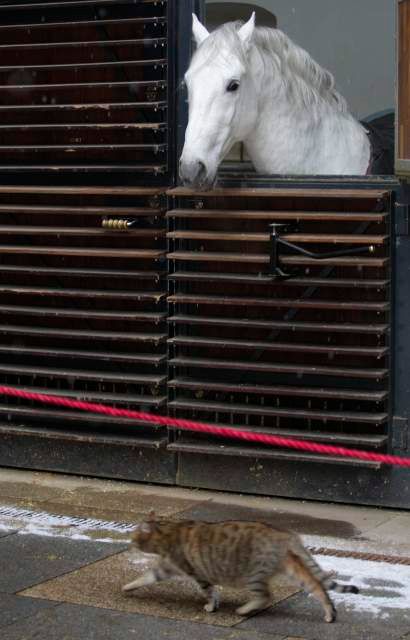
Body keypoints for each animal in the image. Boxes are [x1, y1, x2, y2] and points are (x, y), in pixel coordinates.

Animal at [122, 516, 358, 624]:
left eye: (134, 536)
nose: (129, 543)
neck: (169, 532)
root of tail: (284, 534)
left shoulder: (197, 573)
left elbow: (209, 592)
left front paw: (211, 606)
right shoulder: (166, 568)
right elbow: (145, 577)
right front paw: (127, 587)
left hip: (253, 574)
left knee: (265, 596)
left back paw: (244, 610)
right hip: (291, 568)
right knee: (317, 587)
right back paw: (330, 613)